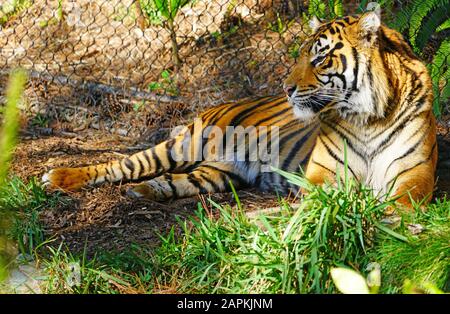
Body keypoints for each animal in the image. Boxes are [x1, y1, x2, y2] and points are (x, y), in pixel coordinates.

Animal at [42, 13, 436, 212]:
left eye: (320, 57)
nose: (286, 88)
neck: (367, 117)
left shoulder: (414, 179)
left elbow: (398, 205)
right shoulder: (321, 176)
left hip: (218, 172)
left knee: (171, 180)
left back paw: (144, 192)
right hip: (183, 145)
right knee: (121, 165)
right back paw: (58, 177)